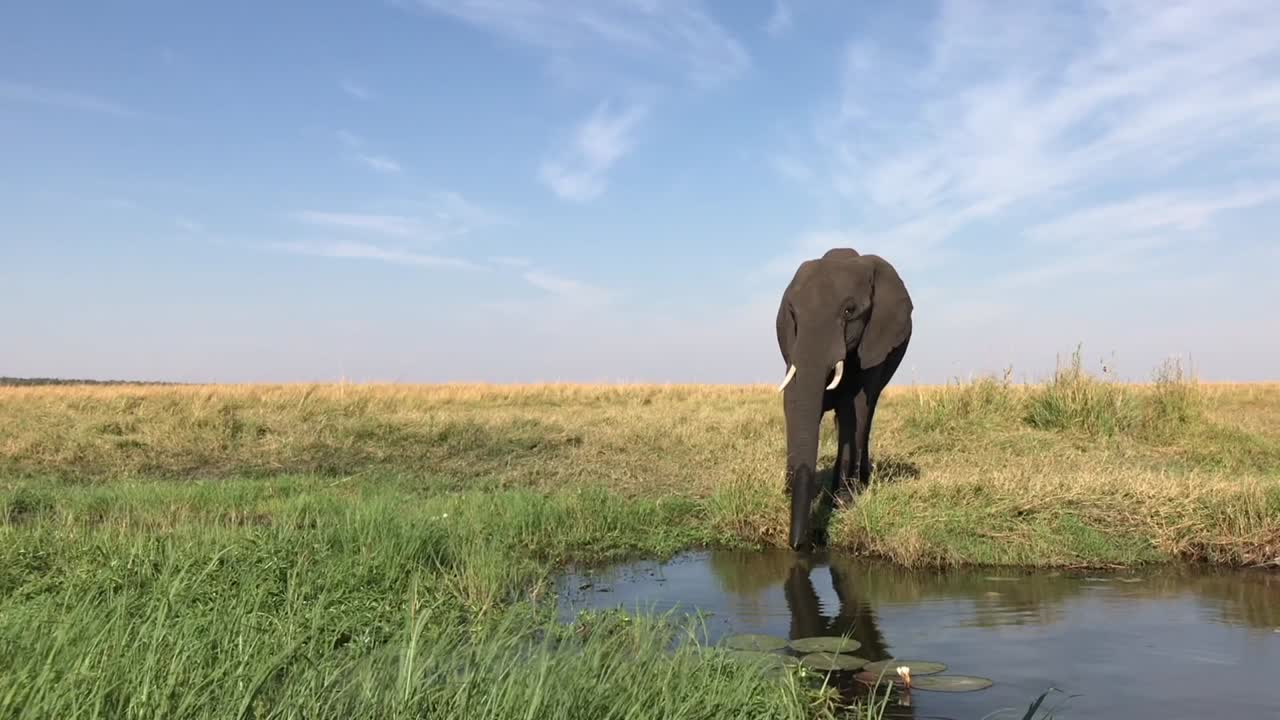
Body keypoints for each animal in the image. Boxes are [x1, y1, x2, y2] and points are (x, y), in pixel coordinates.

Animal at [775, 247, 912, 550]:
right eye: (792, 313)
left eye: (849, 311)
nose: (796, 546)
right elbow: (795, 400)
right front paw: (788, 492)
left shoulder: (874, 341)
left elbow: (856, 408)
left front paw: (844, 501)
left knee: (866, 415)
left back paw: (857, 483)